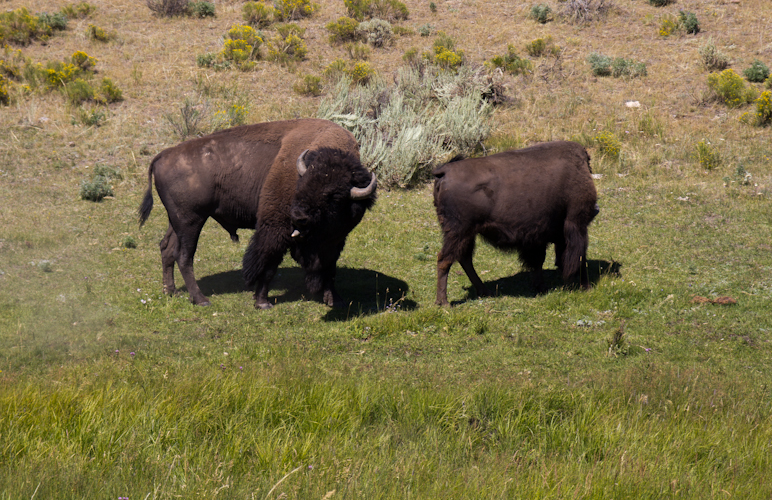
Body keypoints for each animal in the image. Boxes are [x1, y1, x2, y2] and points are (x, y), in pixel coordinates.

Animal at [142, 118, 380, 308]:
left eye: (335, 197)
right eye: (301, 184)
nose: (298, 217)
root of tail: (162, 156)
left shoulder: (334, 240)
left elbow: (330, 268)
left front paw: (336, 300)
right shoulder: (275, 229)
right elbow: (268, 263)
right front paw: (262, 302)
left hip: (177, 222)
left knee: (166, 248)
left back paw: (171, 291)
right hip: (191, 221)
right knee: (184, 256)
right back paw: (201, 300)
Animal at [432, 139, 600, 306]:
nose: (596, 209)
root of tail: (445, 171)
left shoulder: (538, 237)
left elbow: (539, 260)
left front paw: (540, 286)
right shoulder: (575, 225)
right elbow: (580, 256)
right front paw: (585, 286)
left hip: (466, 234)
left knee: (463, 259)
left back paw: (484, 291)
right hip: (459, 232)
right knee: (445, 259)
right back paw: (443, 302)